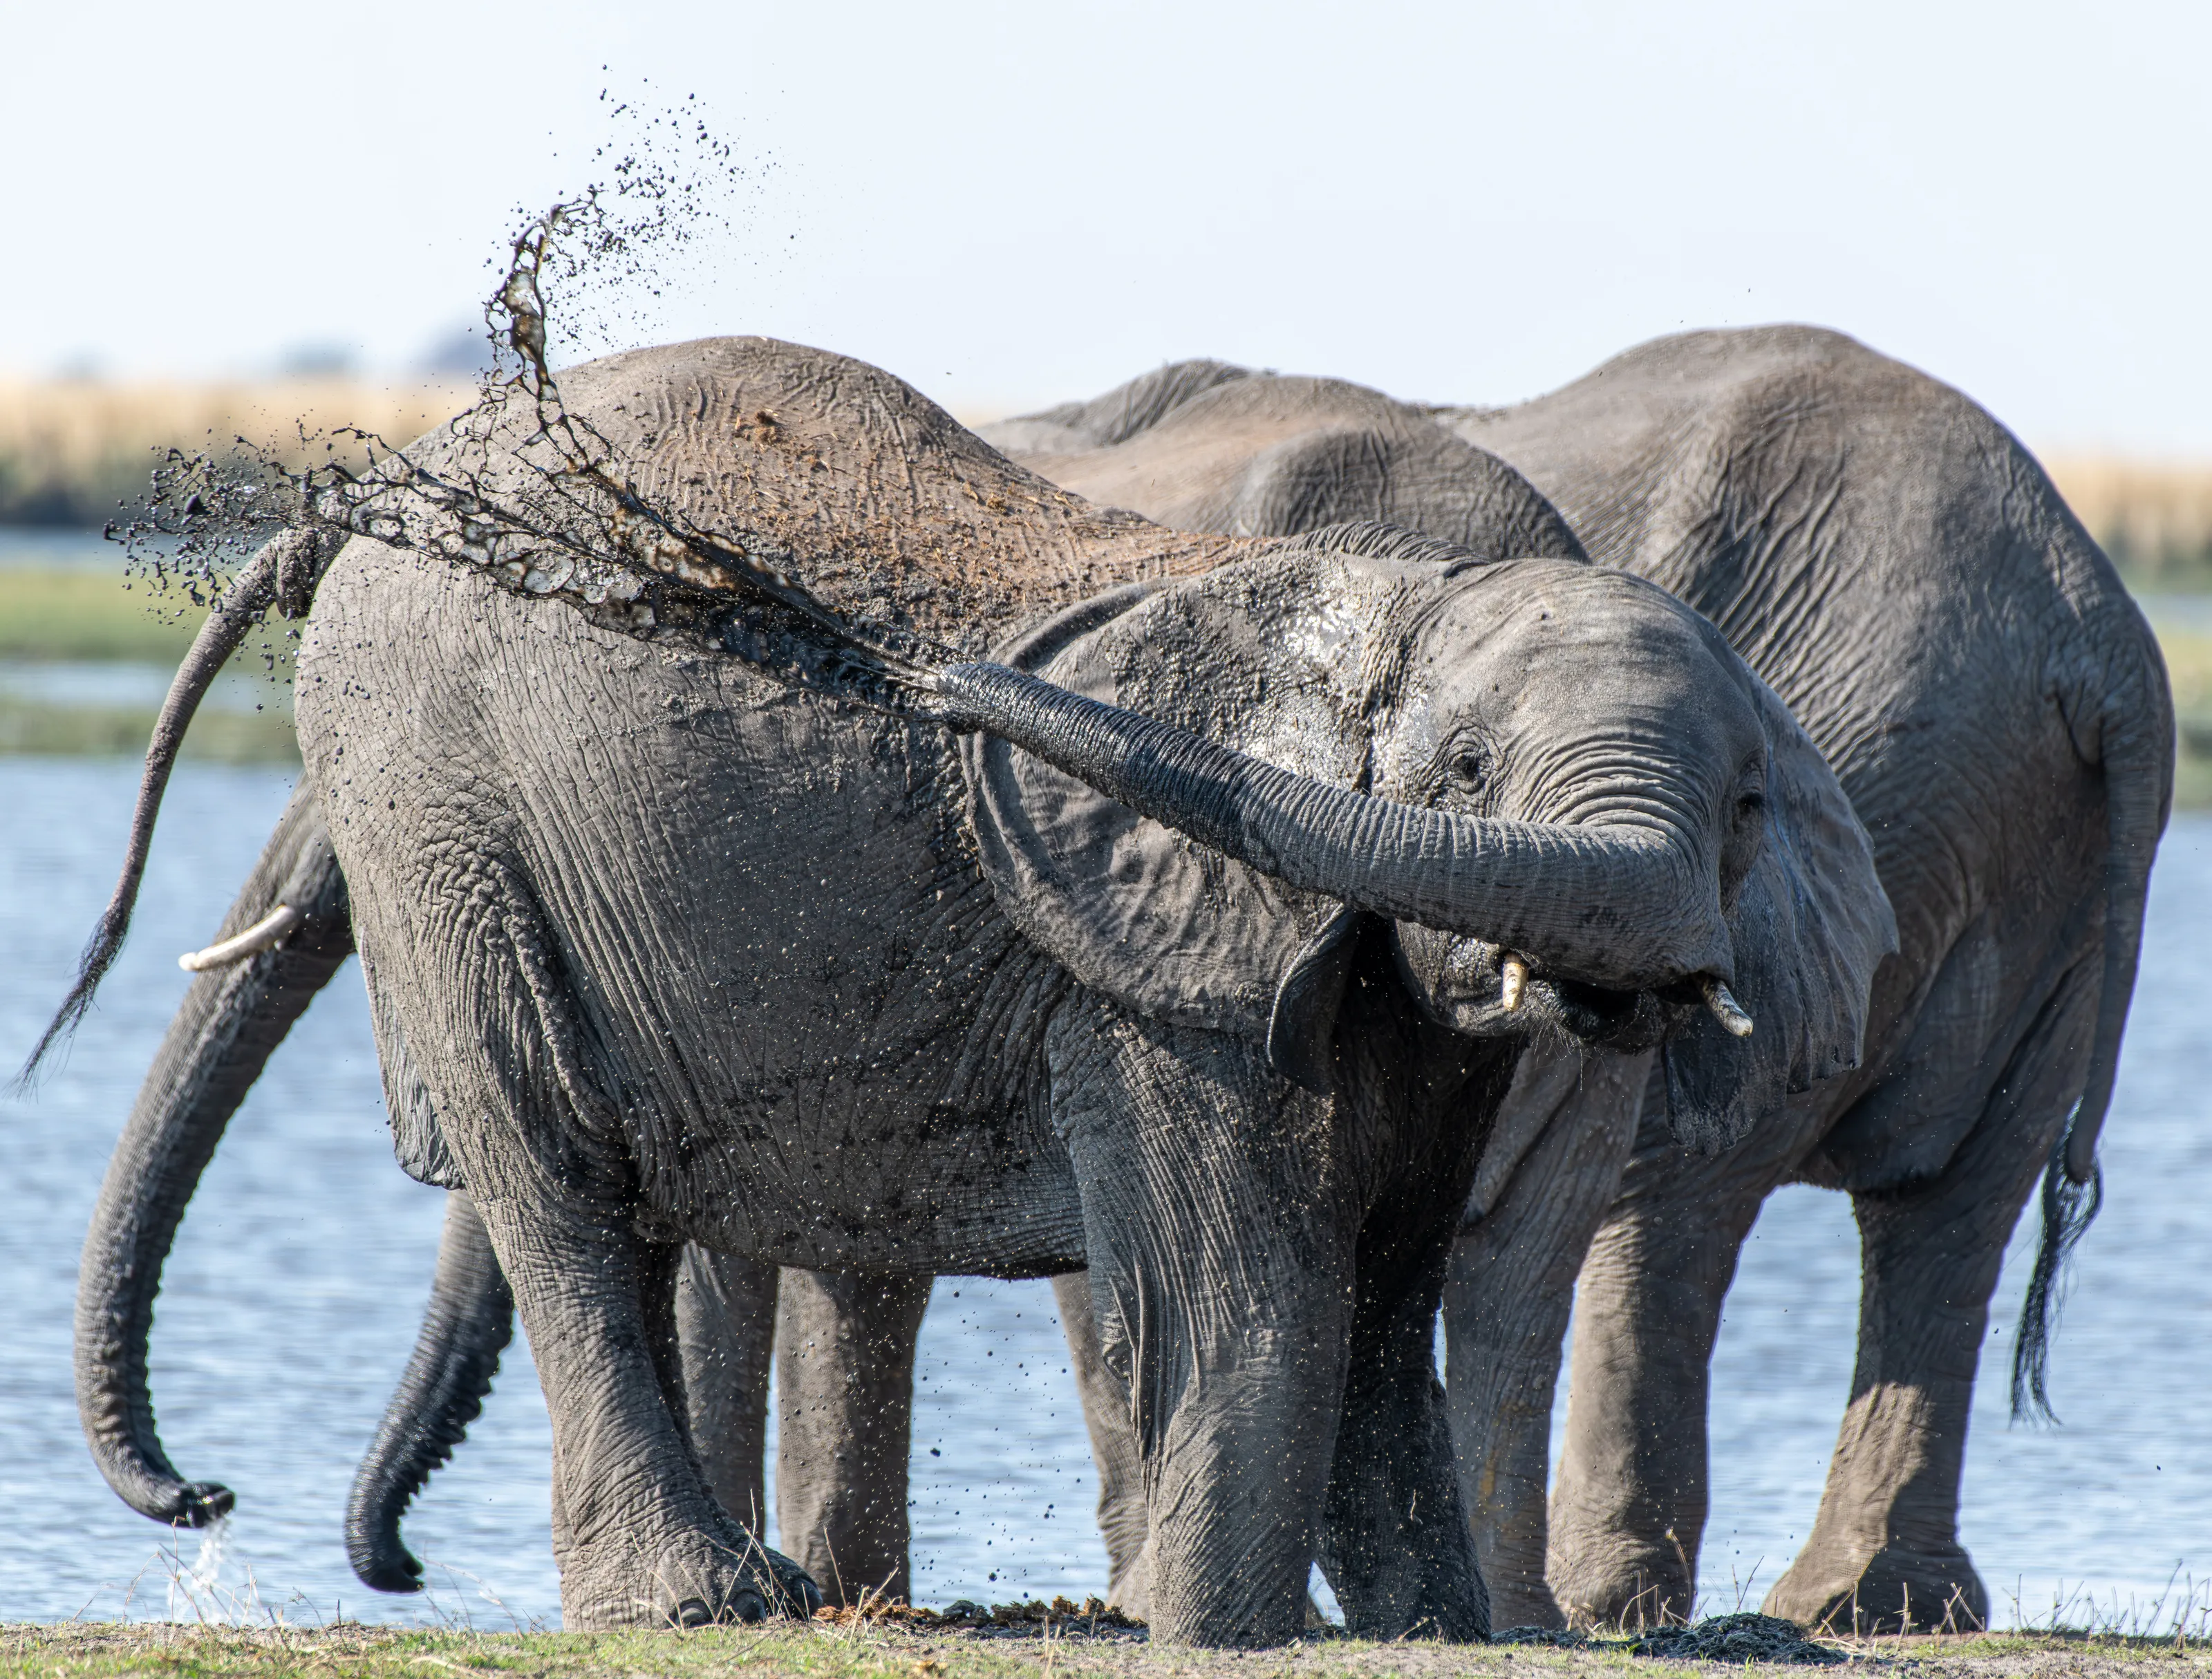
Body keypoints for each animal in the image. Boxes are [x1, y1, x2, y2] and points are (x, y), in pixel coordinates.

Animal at [57, 333, 1893, 1644]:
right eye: (1459, 770)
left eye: (1745, 808)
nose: (208, 1496)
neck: (1371, 602)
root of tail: (392, 488)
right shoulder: (1160, 960)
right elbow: (1266, 1278)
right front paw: (1222, 1635)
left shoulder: (1384, 984)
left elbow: (1387, 1279)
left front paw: (1436, 1635)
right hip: (442, 811)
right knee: (558, 1172)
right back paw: (706, 1606)